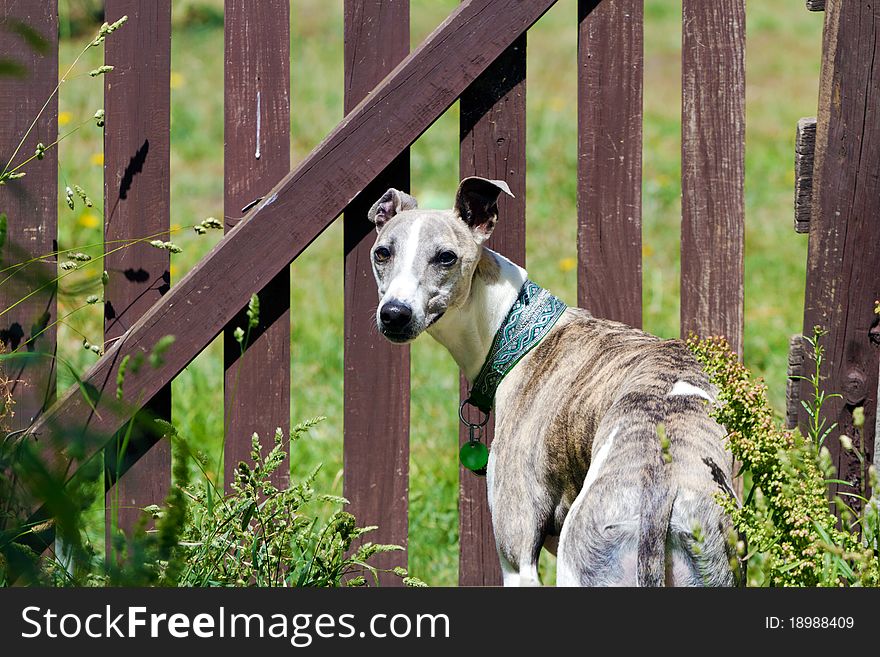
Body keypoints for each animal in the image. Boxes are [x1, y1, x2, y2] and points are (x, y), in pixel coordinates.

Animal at [368, 178, 740, 584]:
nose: (394, 314)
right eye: (382, 253)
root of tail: (660, 489)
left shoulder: (518, 560)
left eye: (446, 257)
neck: (516, 329)